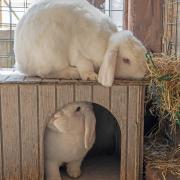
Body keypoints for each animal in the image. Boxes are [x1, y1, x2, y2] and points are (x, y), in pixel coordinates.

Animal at [14, 0, 148, 87]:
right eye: (126, 60)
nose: (144, 73)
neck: (106, 43)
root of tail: (21, 63)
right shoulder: (79, 53)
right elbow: (85, 65)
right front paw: (91, 76)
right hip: (51, 53)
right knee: (44, 73)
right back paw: (72, 73)